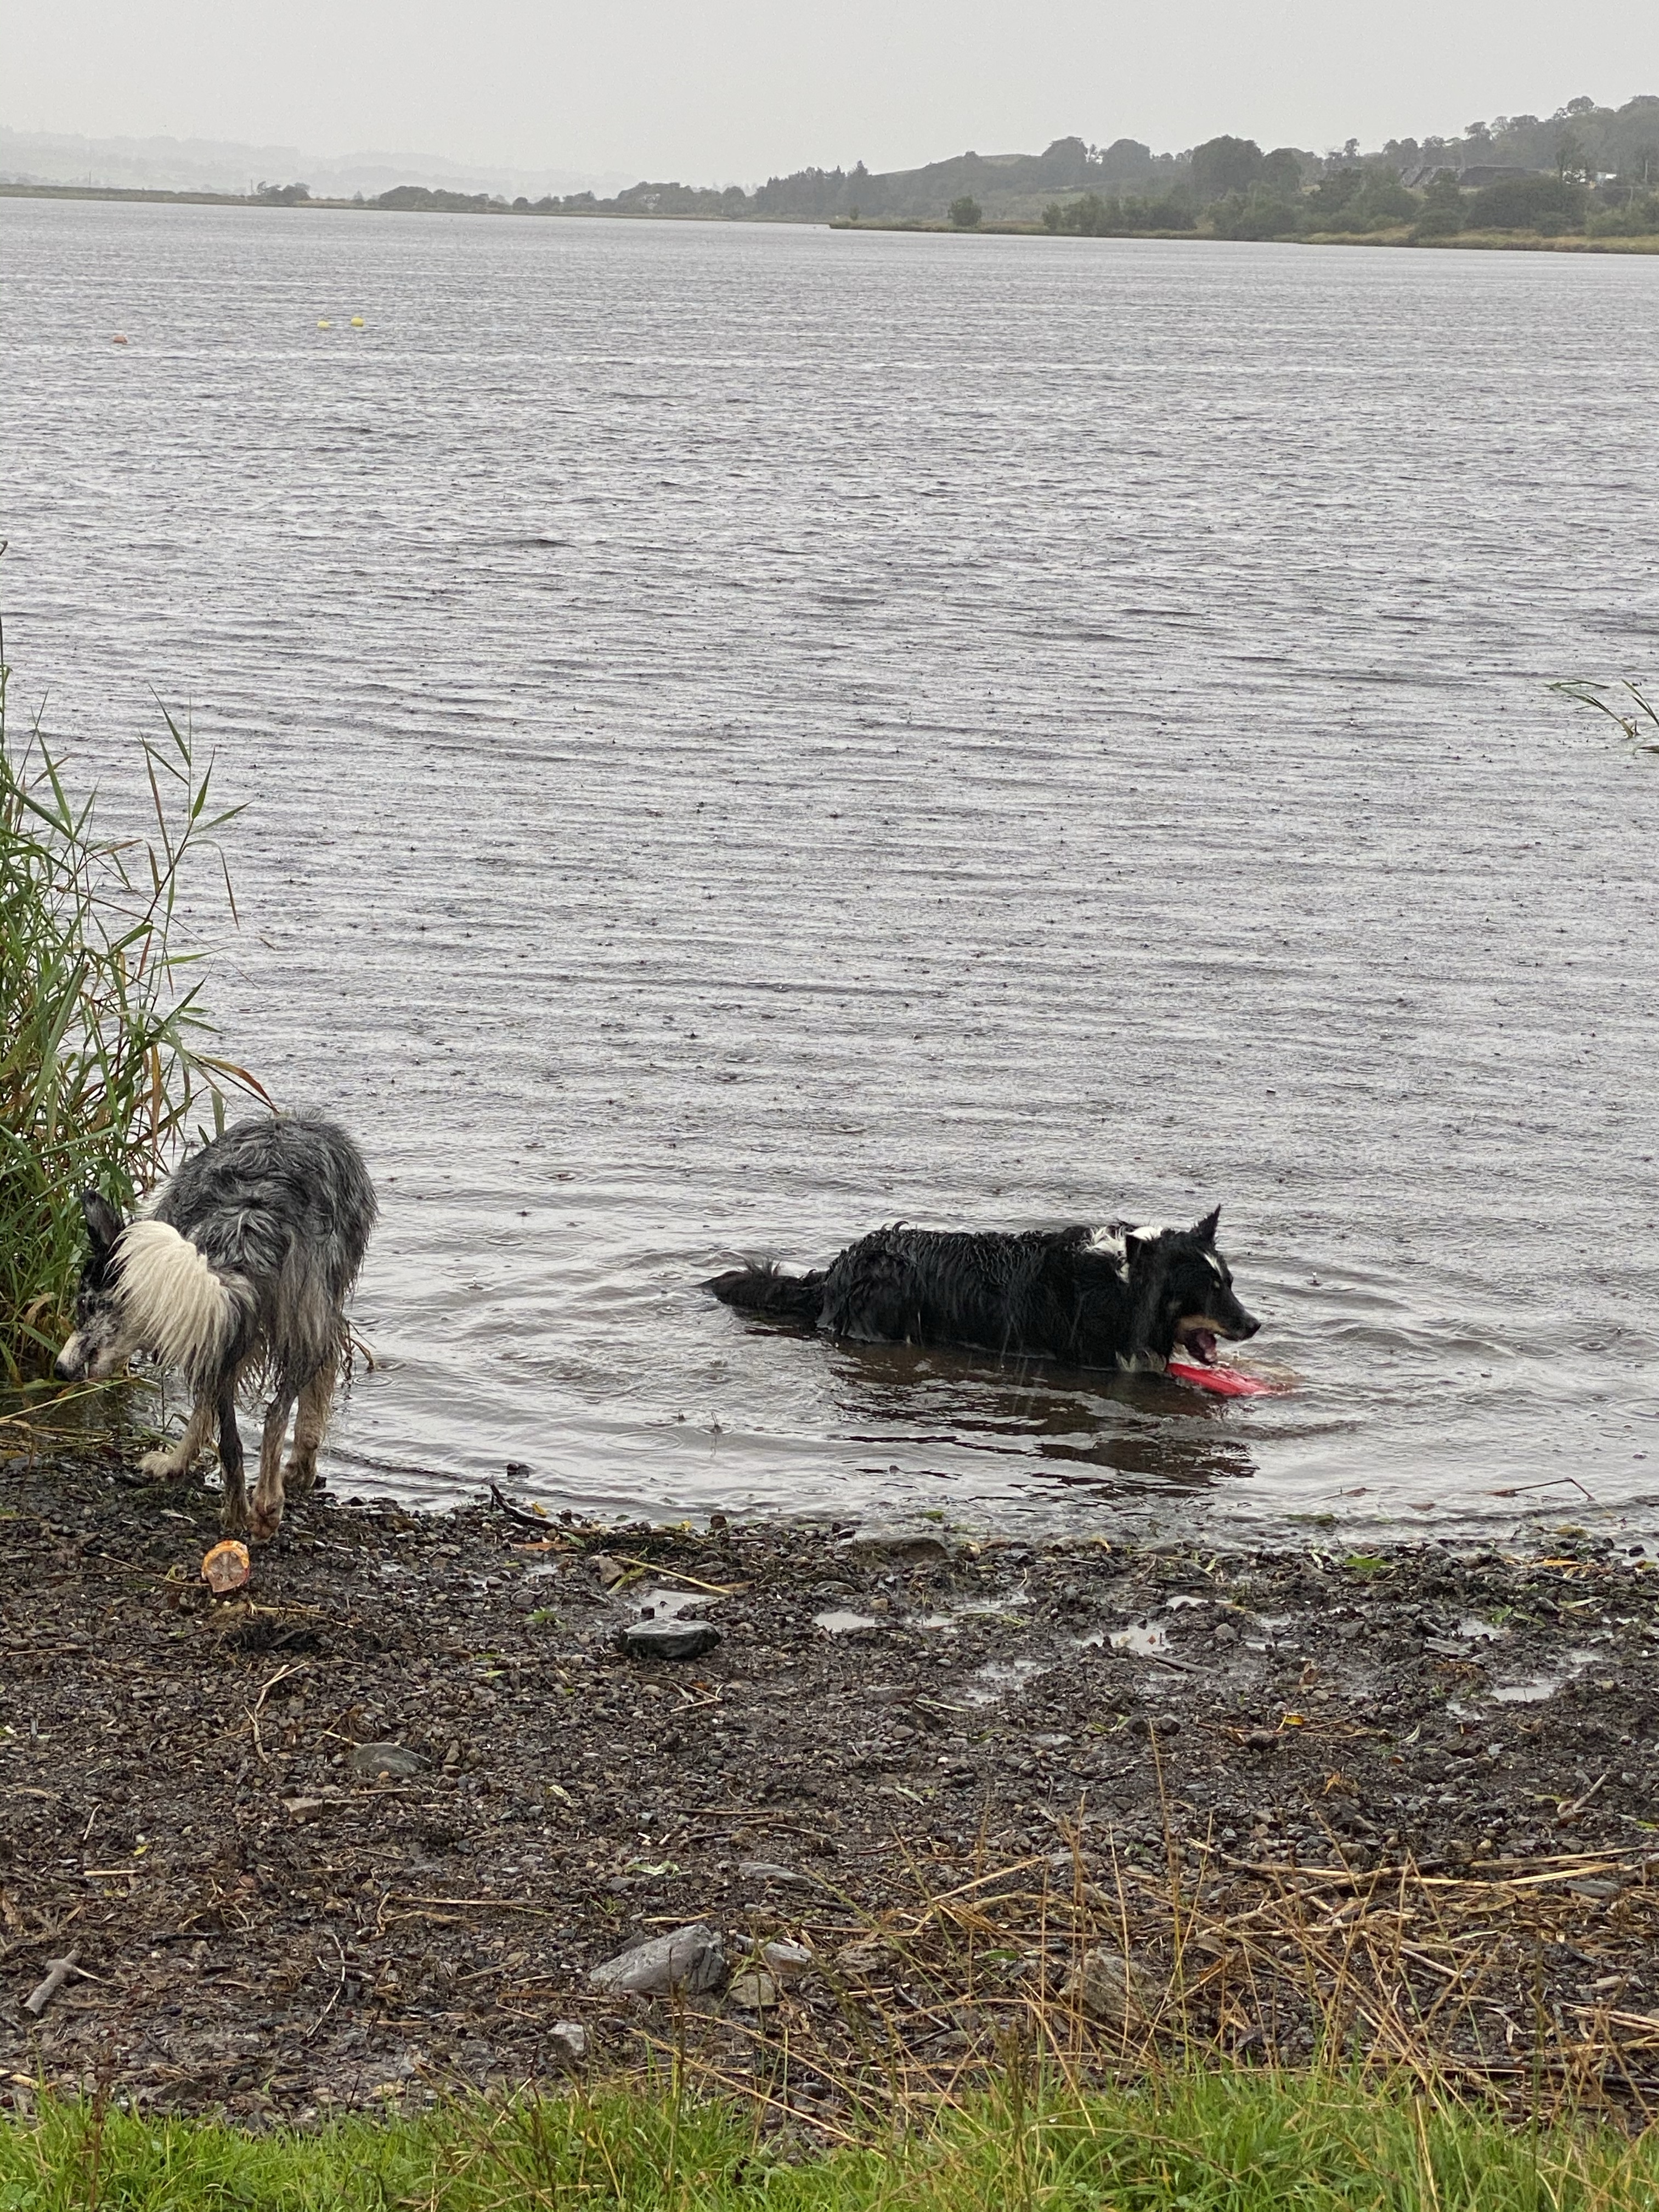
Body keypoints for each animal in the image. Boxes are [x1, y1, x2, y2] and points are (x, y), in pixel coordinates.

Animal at [53, 1112, 377, 1541]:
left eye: (86, 1306)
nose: (60, 1369)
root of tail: (249, 1215)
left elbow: (207, 1415)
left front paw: (175, 1464)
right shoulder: (322, 1319)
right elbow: (311, 1405)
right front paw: (301, 1471)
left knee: (234, 1442)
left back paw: (238, 1512)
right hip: (302, 1322)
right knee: (274, 1415)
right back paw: (267, 1505)